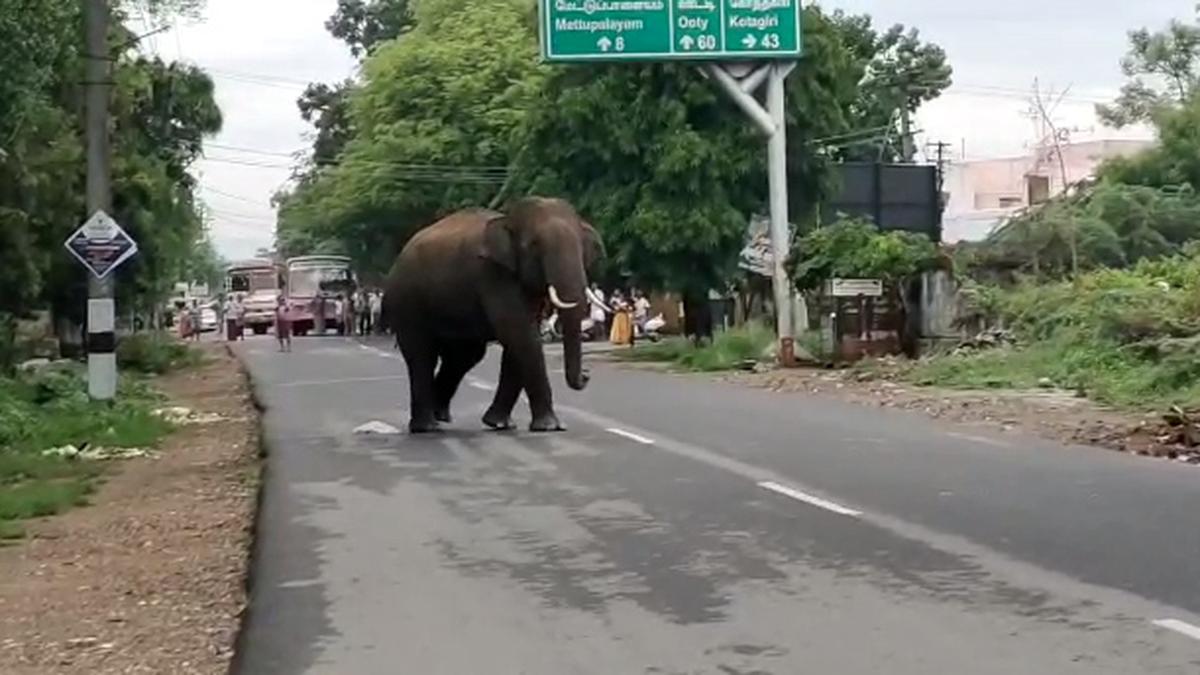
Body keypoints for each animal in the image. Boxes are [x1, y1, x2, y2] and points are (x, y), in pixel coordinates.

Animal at [384, 196, 604, 432]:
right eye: (534, 245)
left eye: (581, 247)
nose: (587, 374)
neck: (507, 219)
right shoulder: (492, 274)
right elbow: (520, 334)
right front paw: (549, 426)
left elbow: (521, 338)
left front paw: (500, 424)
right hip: (406, 301)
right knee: (422, 355)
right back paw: (427, 426)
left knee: (464, 356)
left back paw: (440, 414)